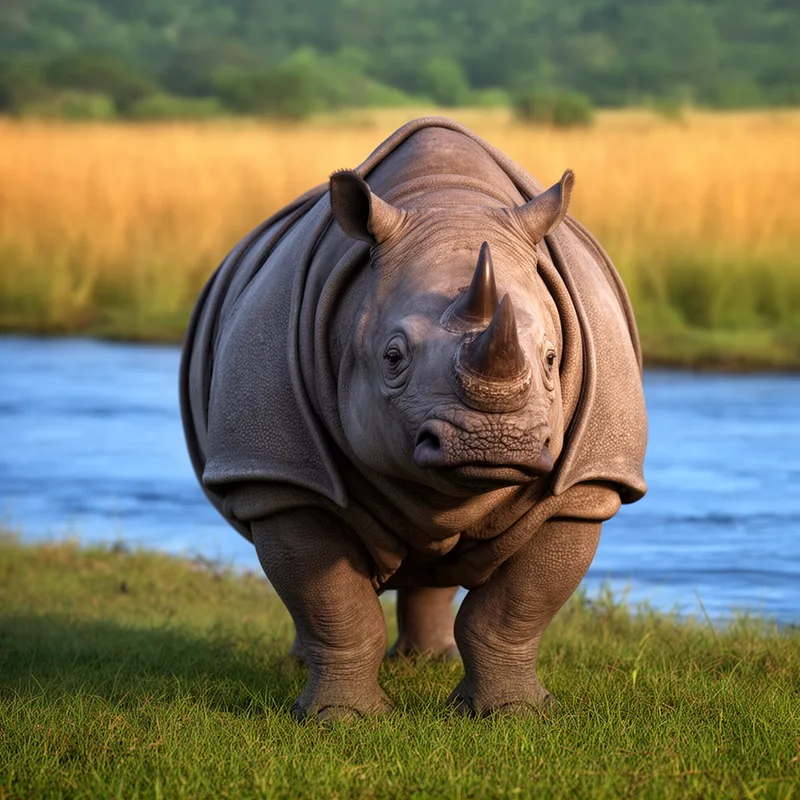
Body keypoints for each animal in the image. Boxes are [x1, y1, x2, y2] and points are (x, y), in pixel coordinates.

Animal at [180, 117, 647, 720]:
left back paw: (429, 663)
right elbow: (333, 603)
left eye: (550, 358)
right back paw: (306, 667)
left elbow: (516, 609)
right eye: (393, 357)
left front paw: (514, 715)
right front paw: (341, 722)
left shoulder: (587, 479)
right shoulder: (283, 472)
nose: (496, 442)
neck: (447, 201)